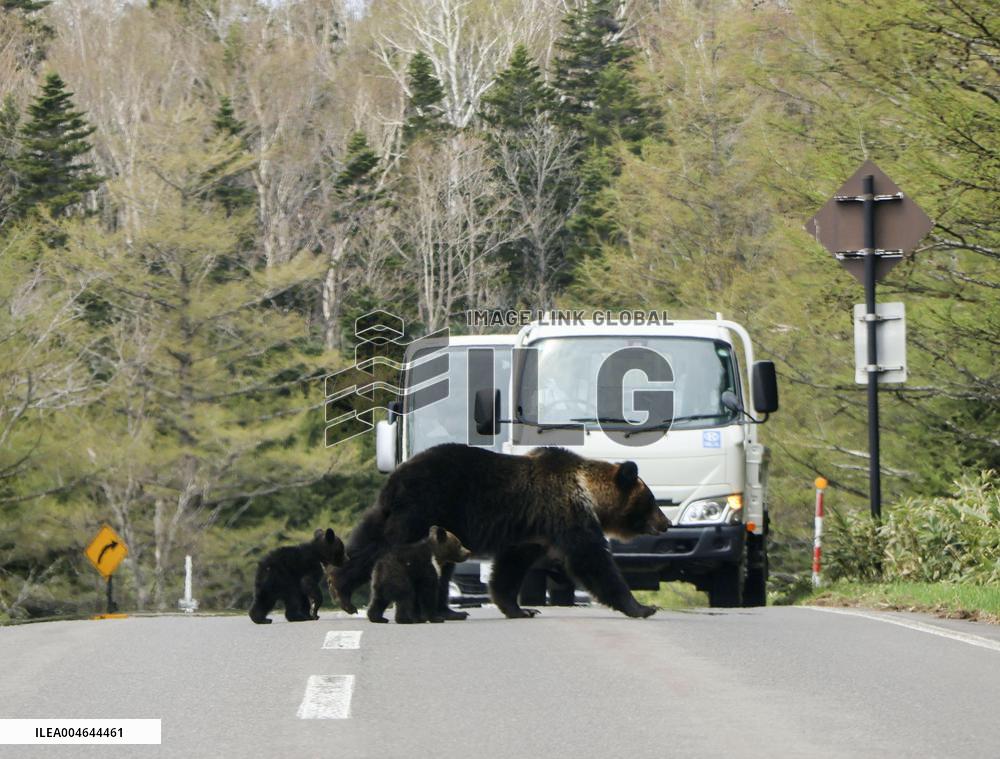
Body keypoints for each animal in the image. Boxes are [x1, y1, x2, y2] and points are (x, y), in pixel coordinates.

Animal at [331, 443, 670, 620]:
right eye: (651, 501)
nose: (665, 522)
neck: (587, 492)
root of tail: (396, 477)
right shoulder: (565, 514)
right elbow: (591, 559)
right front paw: (642, 606)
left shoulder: (533, 533)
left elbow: (511, 566)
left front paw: (519, 608)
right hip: (425, 508)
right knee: (393, 550)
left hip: (416, 517)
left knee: (371, 543)